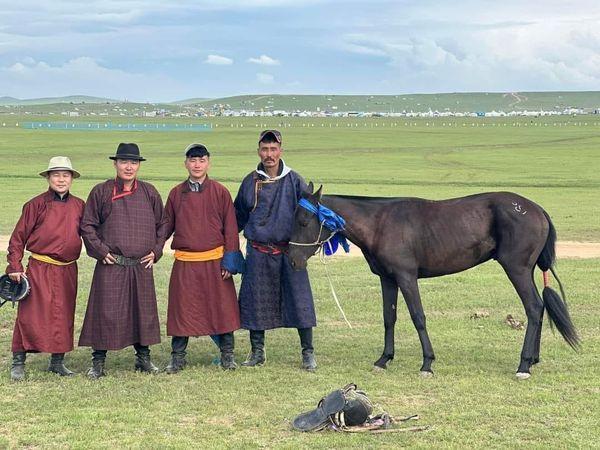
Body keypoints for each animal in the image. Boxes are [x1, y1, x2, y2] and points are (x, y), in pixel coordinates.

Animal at [288, 185, 580, 378]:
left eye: (302, 221)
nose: (292, 260)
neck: (380, 223)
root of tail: (537, 210)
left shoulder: (406, 277)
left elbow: (418, 317)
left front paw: (427, 363)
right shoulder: (388, 279)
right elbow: (389, 318)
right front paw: (384, 359)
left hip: (516, 270)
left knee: (533, 307)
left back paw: (523, 365)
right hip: (525, 271)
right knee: (538, 308)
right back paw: (533, 360)